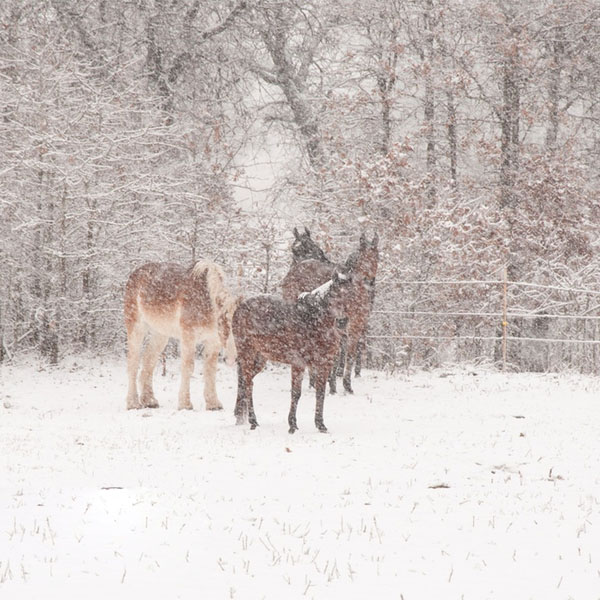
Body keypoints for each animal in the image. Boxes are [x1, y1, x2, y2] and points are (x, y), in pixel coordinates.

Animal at [123, 260, 238, 410]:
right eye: (223, 322)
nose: (231, 359)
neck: (205, 301)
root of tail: (134, 274)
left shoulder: (213, 342)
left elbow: (210, 371)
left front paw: (213, 404)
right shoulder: (188, 336)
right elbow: (188, 367)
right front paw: (185, 404)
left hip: (160, 334)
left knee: (148, 361)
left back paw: (149, 401)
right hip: (136, 328)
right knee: (133, 362)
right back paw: (133, 403)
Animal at [232, 270, 356, 432]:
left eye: (352, 295)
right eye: (335, 293)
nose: (342, 322)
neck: (313, 321)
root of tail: (240, 307)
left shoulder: (323, 365)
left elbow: (320, 393)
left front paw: (320, 424)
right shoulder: (298, 363)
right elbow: (296, 393)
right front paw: (292, 424)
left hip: (260, 358)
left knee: (245, 382)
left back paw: (241, 416)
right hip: (247, 353)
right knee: (247, 383)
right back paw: (253, 420)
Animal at [282, 231, 378, 394]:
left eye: (376, 256)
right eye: (362, 256)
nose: (368, 281)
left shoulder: (351, 323)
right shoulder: (351, 324)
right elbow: (346, 352)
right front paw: (341, 384)